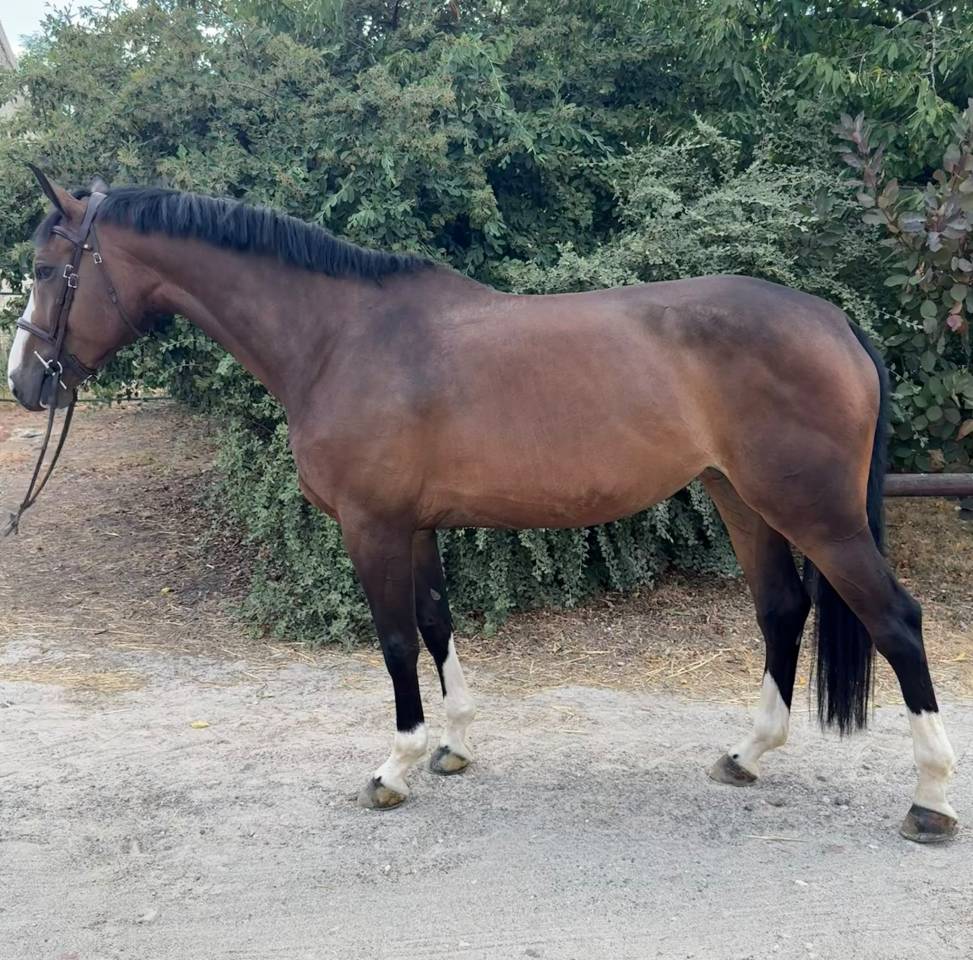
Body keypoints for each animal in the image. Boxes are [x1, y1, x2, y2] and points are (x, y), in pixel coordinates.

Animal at [6, 168, 959, 843]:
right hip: (741, 499)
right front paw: (453, 745)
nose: (25, 384)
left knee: (895, 620)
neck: (339, 339)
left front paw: (394, 766)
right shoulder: (415, 525)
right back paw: (746, 756)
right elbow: (434, 622)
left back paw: (930, 800)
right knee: (780, 609)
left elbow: (394, 641)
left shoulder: (373, 526)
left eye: (49, 270)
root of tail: (833, 322)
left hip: (814, 513)